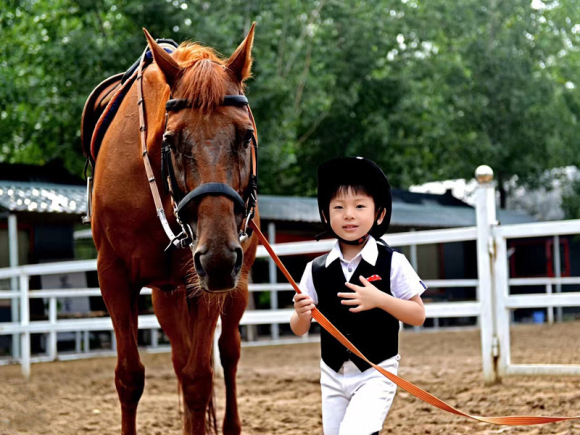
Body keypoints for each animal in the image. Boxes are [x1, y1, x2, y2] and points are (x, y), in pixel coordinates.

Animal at [88, 25, 258, 434]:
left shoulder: (212, 282)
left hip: (236, 282)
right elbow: (129, 377)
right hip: (168, 295)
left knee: (228, 353)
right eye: (171, 140)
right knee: (180, 359)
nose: (217, 258)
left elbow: (198, 379)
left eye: (246, 135)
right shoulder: (113, 276)